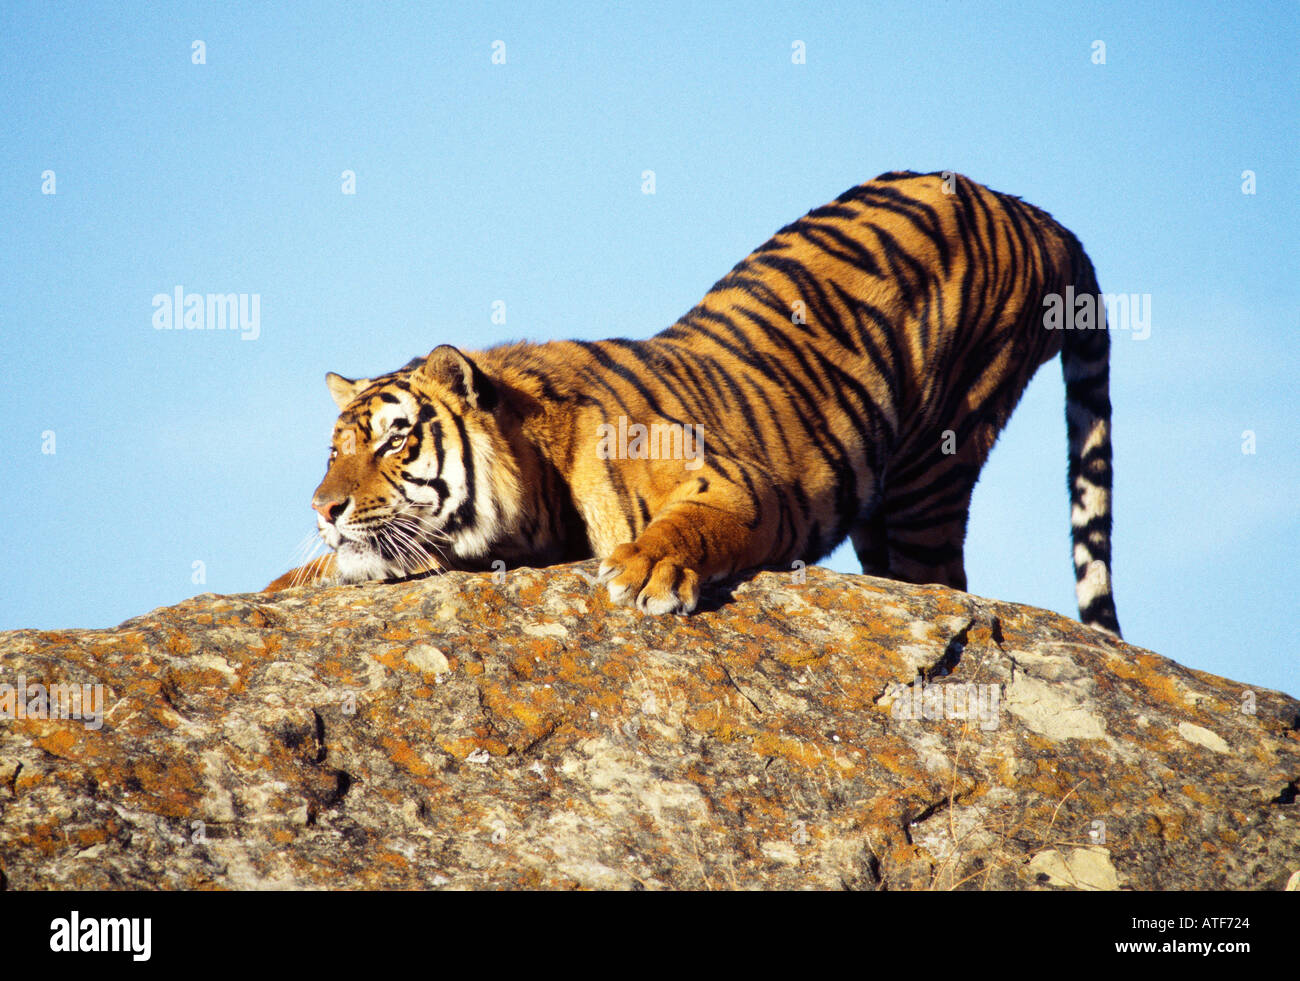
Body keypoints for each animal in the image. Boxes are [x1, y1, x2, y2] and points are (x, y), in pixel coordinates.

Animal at [266, 170, 1121, 637]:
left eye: (395, 439)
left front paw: (646, 570)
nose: (322, 509)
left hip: (937, 462)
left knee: (944, 578)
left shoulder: (738, 478)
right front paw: (290, 579)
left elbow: (696, 520)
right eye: (335, 450)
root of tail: (1032, 210)